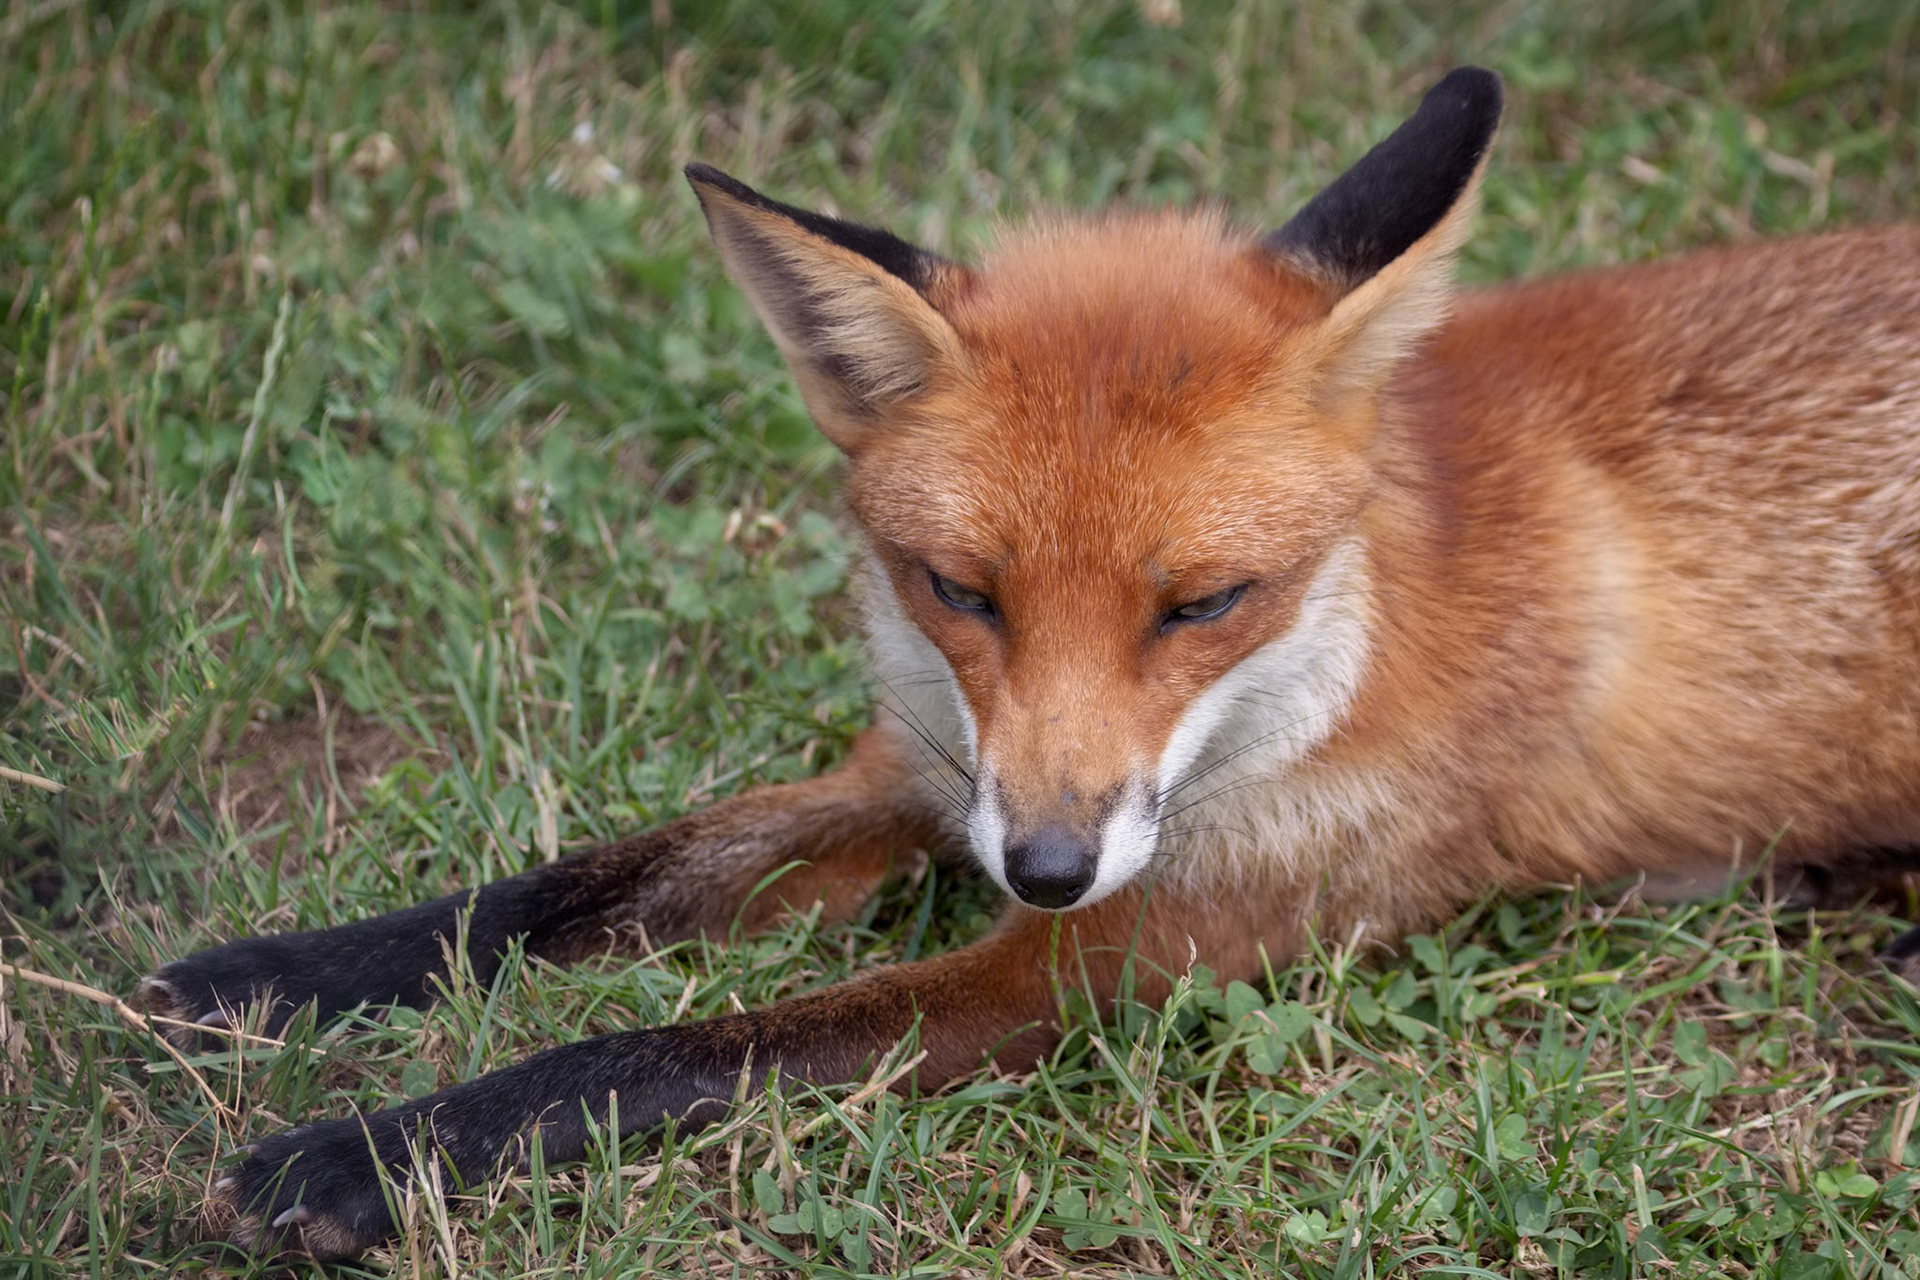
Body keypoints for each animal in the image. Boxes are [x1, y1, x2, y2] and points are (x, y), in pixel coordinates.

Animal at [138, 66, 1920, 1258]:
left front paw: (371, 1154)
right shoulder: (930, 767)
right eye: (959, 592)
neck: (1347, 647)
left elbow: (682, 1048)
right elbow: (558, 893)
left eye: (1205, 604)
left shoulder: (1120, 954)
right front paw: (267, 977)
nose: (1046, 867)